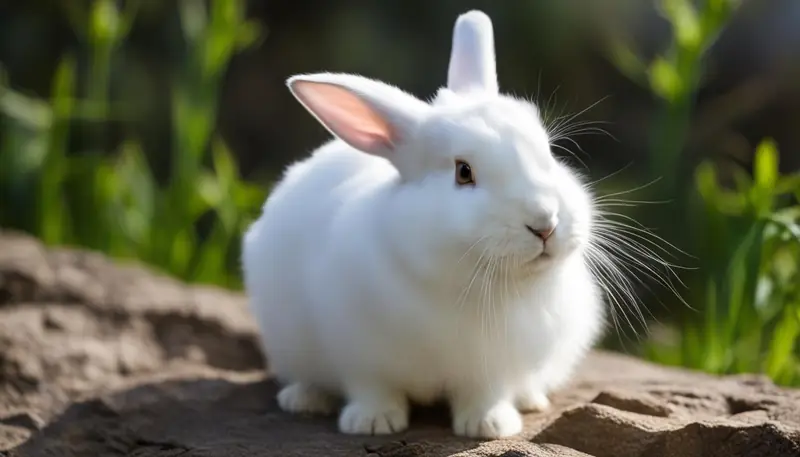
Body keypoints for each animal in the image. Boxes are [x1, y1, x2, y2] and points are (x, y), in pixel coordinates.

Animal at [241, 9, 605, 439]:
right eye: (463, 172)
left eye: (548, 153)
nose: (545, 223)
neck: (468, 283)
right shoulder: (359, 353)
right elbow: (372, 388)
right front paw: (373, 423)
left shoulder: (494, 367)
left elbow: (485, 394)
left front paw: (489, 426)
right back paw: (303, 399)